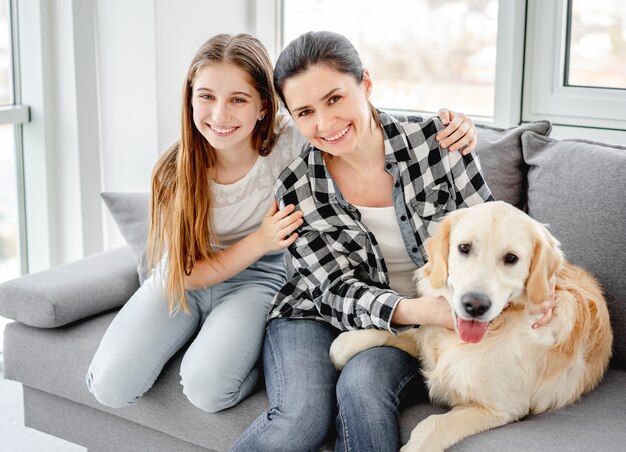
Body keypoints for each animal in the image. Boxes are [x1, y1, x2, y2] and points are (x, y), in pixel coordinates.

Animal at [330, 202, 612, 452]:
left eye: (511, 258)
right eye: (464, 248)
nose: (475, 305)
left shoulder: (500, 408)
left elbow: (430, 426)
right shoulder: (431, 337)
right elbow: (360, 341)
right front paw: (344, 346)